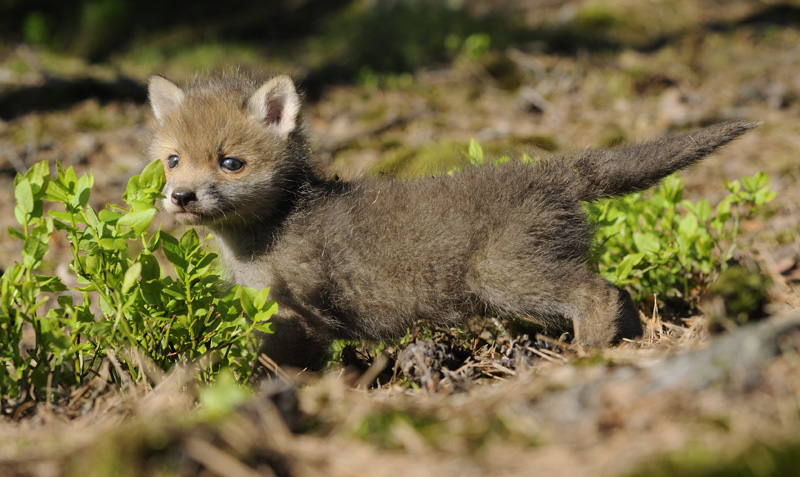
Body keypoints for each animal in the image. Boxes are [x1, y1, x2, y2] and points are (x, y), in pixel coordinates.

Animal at [147, 72, 758, 370]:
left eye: (230, 163)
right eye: (173, 159)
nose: (180, 196)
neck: (260, 237)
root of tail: (554, 170)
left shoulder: (298, 316)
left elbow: (277, 366)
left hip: (503, 275)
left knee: (599, 293)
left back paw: (584, 354)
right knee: (618, 294)